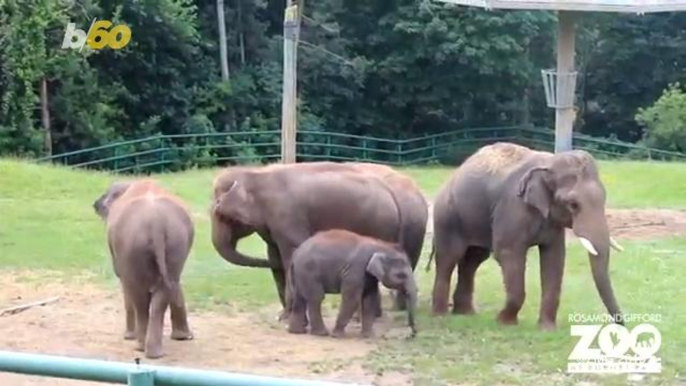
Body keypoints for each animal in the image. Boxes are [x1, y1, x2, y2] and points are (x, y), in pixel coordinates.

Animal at [92, 179, 195, 360]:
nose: (94, 205)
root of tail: (156, 222)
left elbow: (121, 276)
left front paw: (128, 336)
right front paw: (183, 337)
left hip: (132, 246)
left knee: (138, 294)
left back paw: (140, 346)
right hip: (177, 242)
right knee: (168, 287)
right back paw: (155, 352)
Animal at [210, 161, 428, 316]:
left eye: (221, 214)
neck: (255, 174)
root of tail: (391, 194)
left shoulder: (287, 217)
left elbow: (291, 254)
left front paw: (289, 316)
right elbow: (275, 255)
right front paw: (283, 315)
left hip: (378, 224)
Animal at [286, 229, 416, 338]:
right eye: (401, 275)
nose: (412, 334)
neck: (381, 245)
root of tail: (295, 254)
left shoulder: (369, 276)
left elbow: (369, 299)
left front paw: (368, 336)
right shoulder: (356, 269)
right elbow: (351, 299)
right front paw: (337, 335)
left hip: (300, 273)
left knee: (299, 297)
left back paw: (297, 332)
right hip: (308, 271)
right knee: (316, 297)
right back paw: (322, 334)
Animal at [432, 143, 628, 330]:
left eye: (604, 198)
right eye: (573, 204)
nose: (622, 325)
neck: (549, 163)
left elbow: (554, 258)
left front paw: (547, 328)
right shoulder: (512, 207)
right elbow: (508, 253)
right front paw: (505, 322)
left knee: (473, 259)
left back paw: (465, 313)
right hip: (447, 217)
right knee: (449, 258)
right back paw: (441, 315)